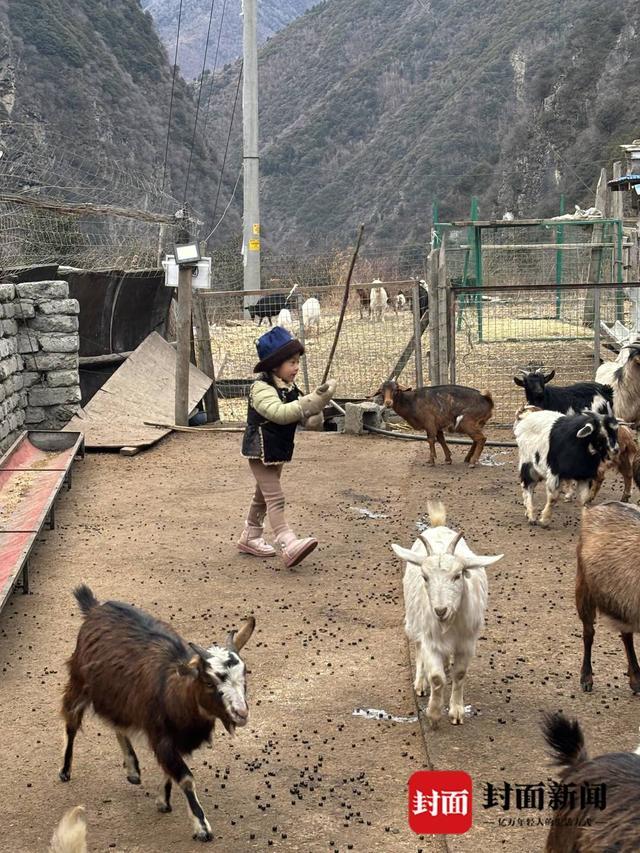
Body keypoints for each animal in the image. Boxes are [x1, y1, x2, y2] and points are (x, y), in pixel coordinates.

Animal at [59, 584, 255, 840]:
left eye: (245, 676)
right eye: (209, 682)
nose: (241, 713)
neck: (175, 692)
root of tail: (94, 608)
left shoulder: (176, 738)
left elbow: (169, 770)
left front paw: (163, 800)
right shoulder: (161, 735)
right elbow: (185, 779)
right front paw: (202, 827)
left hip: (116, 693)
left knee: (118, 725)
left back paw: (133, 769)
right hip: (80, 681)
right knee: (71, 721)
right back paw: (65, 770)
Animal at [390, 502, 504, 728]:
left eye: (458, 575)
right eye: (425, 576)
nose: (440, 610)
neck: (450, 622)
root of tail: (438, 526)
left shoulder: (467, 642)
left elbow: (459, 675)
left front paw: (457, 712)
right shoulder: (431, 640)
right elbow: (436, 678)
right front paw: (434, 714)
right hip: (415, 621)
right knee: (418, 647)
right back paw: (420, 683)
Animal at [576, 502, 640, 696]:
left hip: (622, 603)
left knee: (626, 635)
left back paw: (636, 679)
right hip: (584, 589)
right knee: (588, 633)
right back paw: (586, 678)